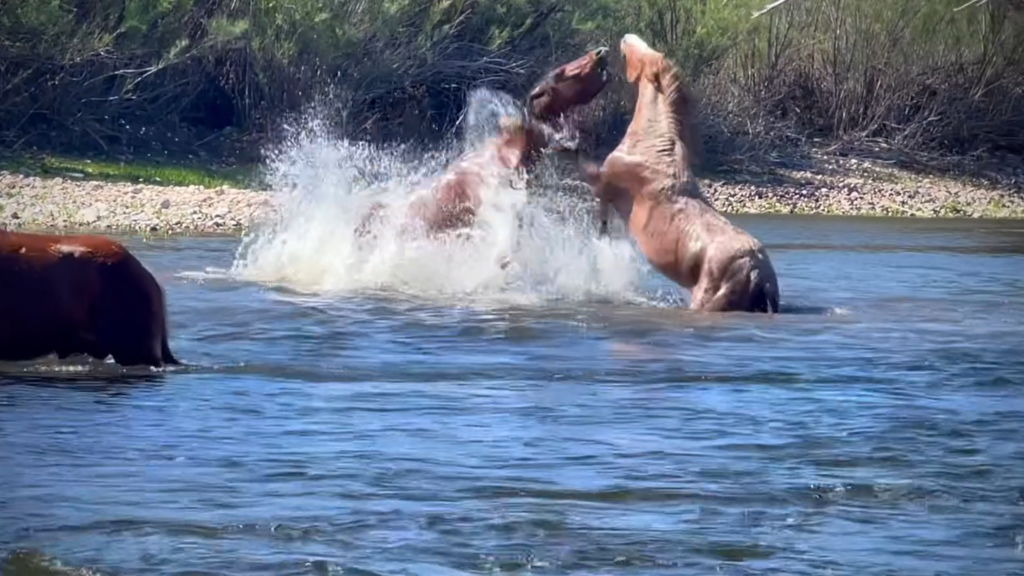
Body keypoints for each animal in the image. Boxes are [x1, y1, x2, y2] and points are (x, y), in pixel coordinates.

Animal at [577, 34, 780, 313]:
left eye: (645, 53)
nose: (626, 38)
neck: (651, 141)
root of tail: (758, 272)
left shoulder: (604, 184)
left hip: (706, 300)